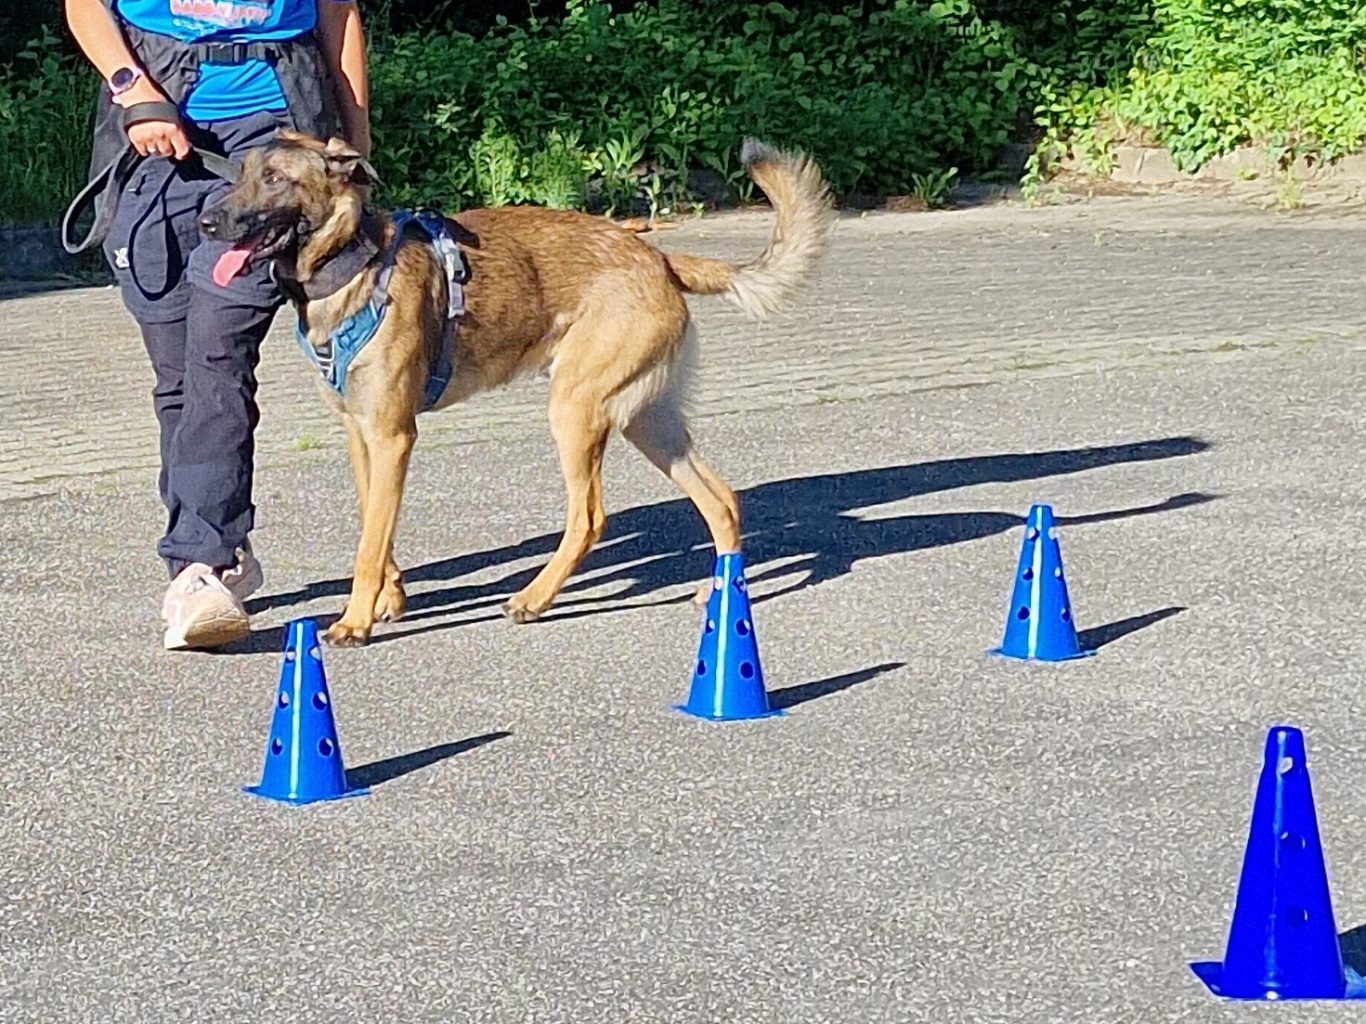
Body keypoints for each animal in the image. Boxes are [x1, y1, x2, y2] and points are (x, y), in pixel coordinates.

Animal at [199, 130, 834, 646]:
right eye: (240, 173)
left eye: (275, 178)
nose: (207, 223)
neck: (355, 266)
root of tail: (658, 255)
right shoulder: (361, 436)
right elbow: (374, 527)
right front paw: (389, 598)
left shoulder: (392, 436)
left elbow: (368, 546)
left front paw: (355, 621)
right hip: (648, 423)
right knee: (722, 500)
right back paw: (723, 594)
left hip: (576, 410)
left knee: (590, 517)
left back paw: (534, 598)